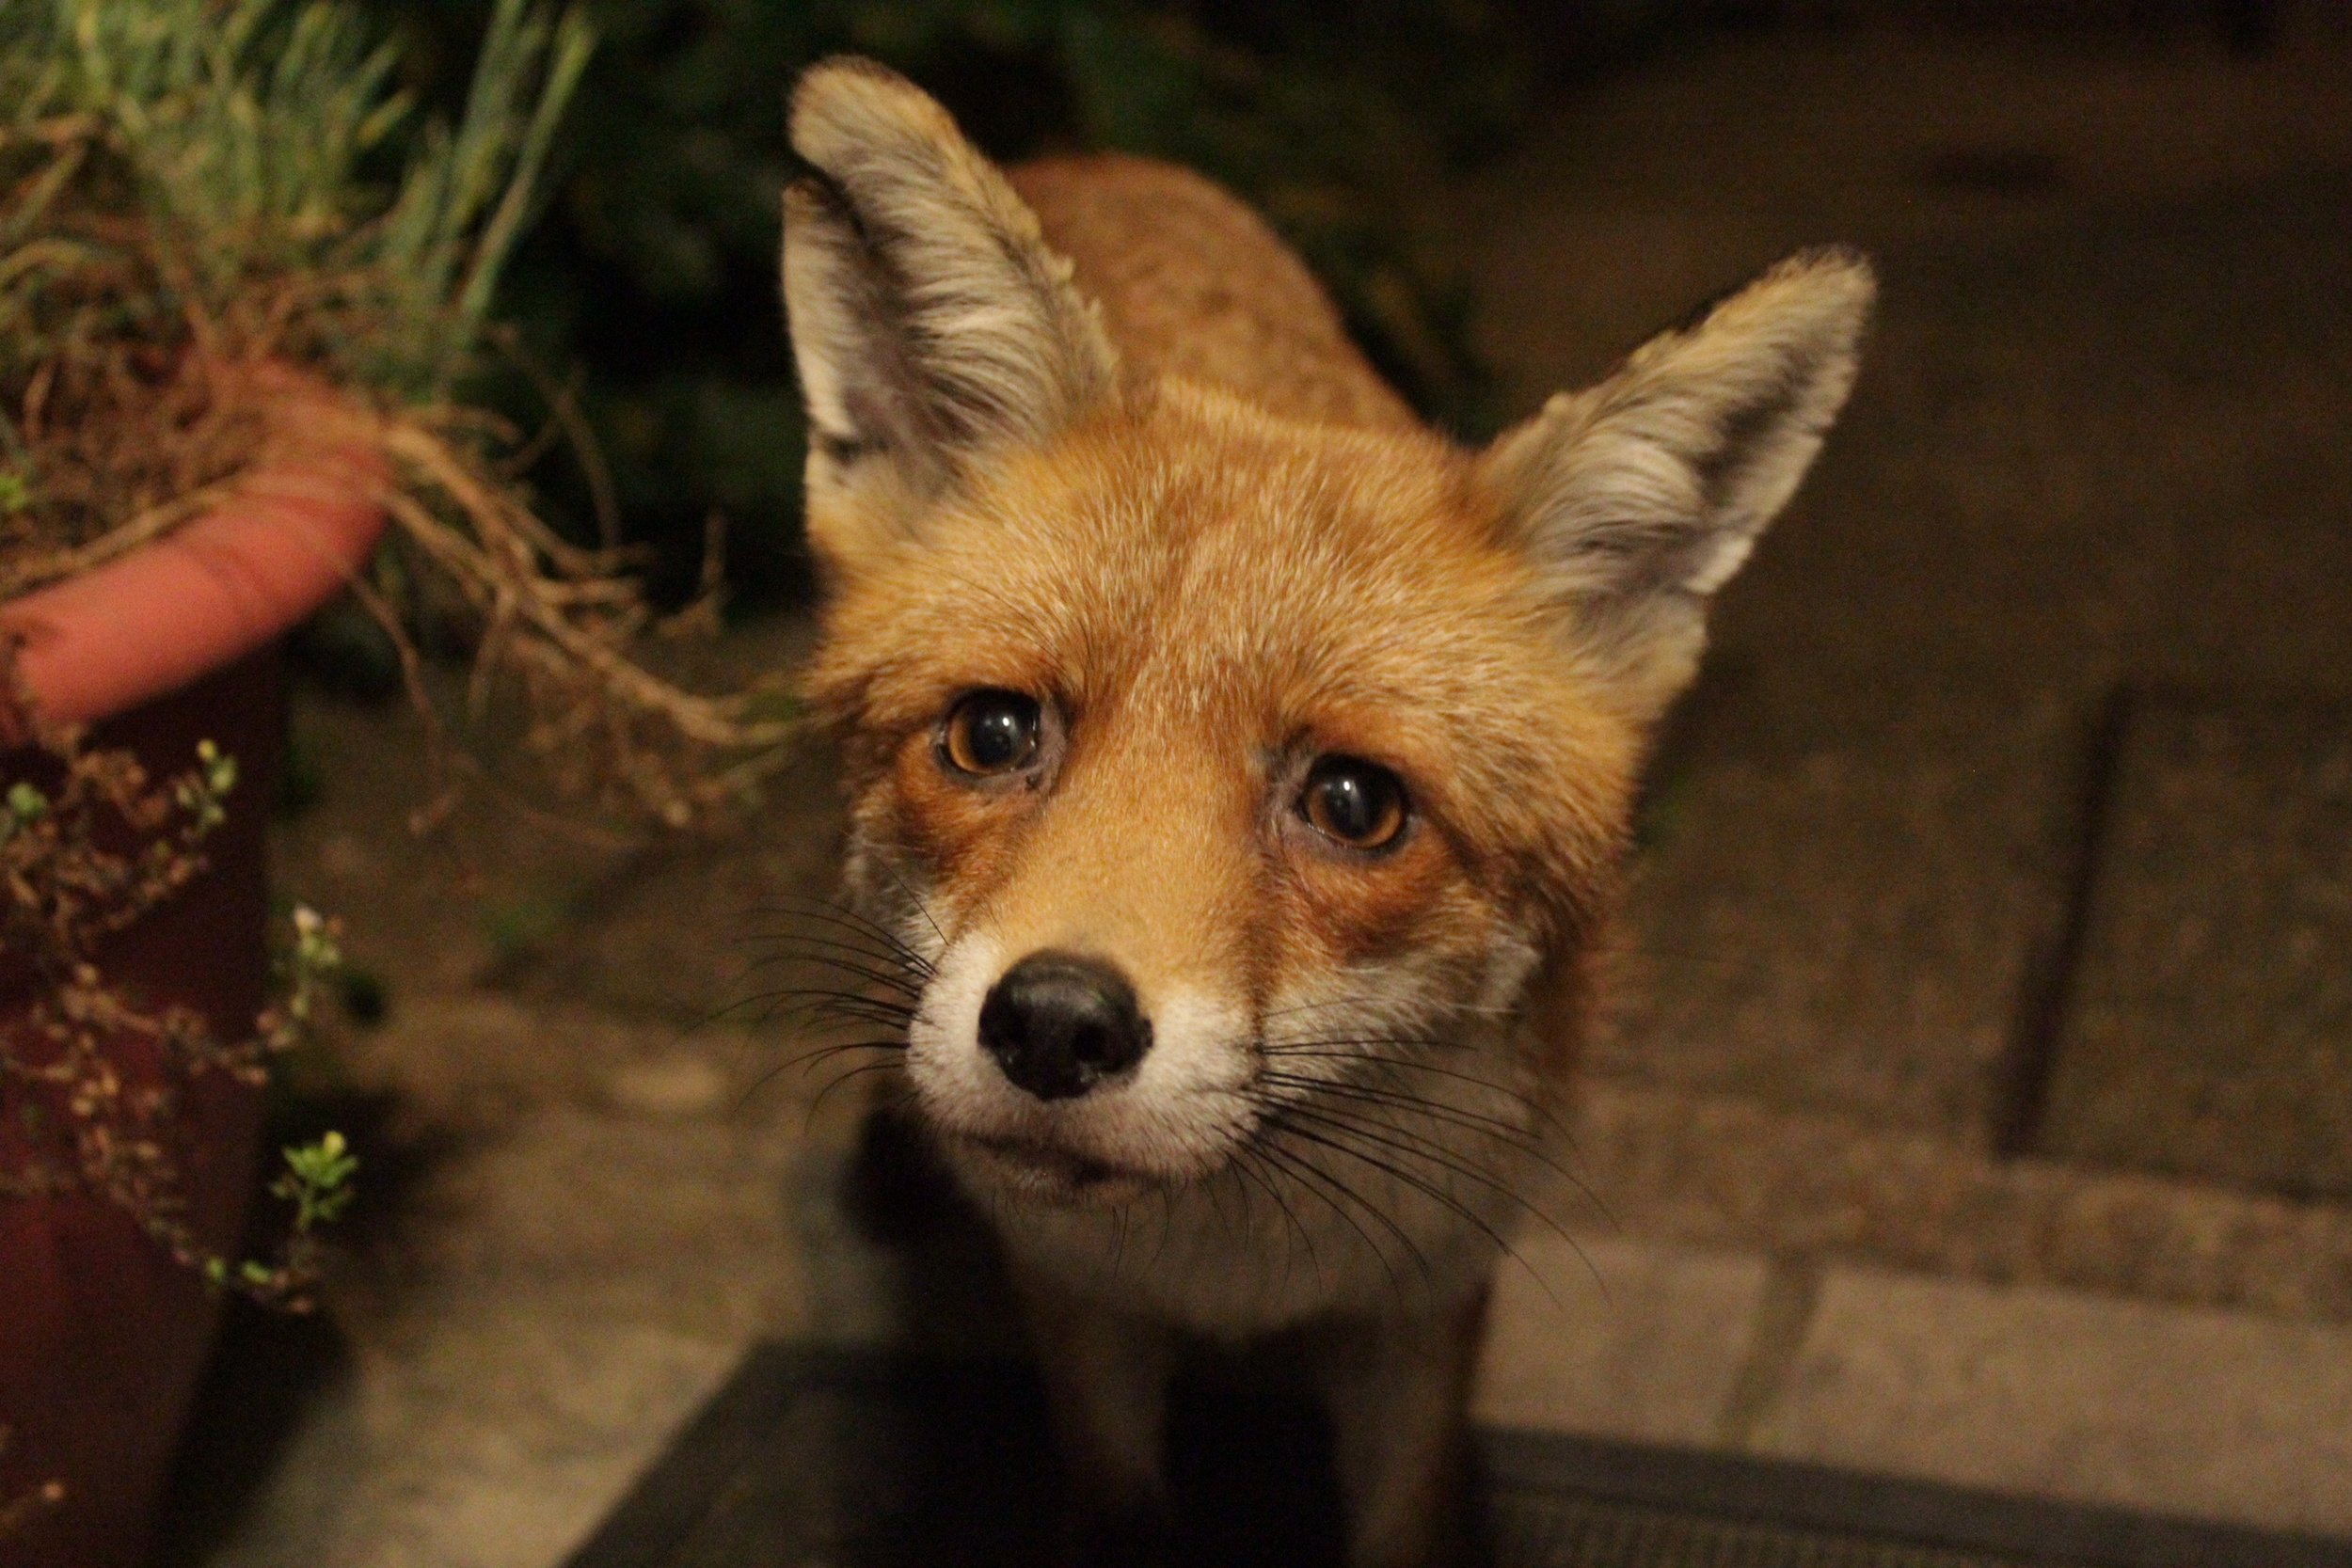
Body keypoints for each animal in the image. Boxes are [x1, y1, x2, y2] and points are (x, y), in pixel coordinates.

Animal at [780, 56, 1872, 1568]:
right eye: (993, 733)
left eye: (1354, 803)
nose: (1053, 1025)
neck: (1234, 1266)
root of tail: (1101, 152)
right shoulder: (1079, 1311)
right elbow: (1117, 1500)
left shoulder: (1425, 1311)